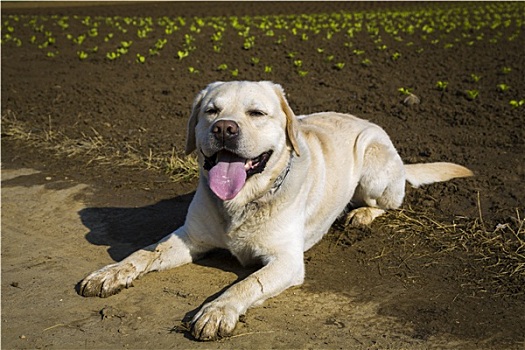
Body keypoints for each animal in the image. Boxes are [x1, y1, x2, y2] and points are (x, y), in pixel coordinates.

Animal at [80, 81, 472, 340]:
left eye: (256, 113)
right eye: (211, 111)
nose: (224, 128)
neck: (241, 202)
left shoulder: (286, 261)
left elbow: (245, 284)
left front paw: (217, 310)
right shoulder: (189, 238)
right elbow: (144, 252)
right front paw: (111, 272)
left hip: (374, 165)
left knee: (389, 202)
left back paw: (360, 215)